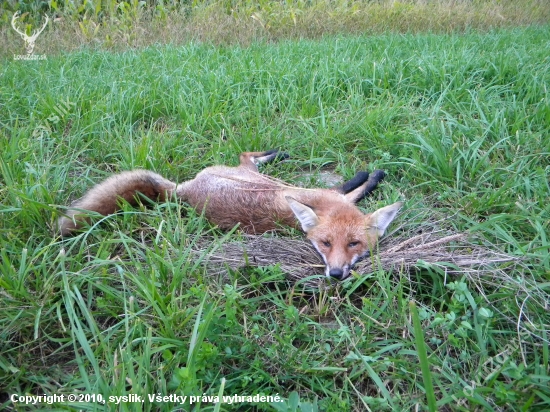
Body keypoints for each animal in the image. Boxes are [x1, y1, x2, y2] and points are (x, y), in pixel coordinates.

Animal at [58, 149, 404, 280]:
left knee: (247, 155)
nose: (336, 274)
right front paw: (372, 174)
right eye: (325, 244)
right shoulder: (329, 194)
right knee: (246, 154)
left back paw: (278, 153)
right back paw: (278, 153)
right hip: (252, 175)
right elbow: (356, 187)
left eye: (354, 244)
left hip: (252, 174)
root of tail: (181, 192)